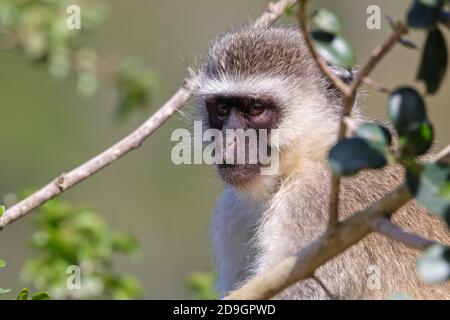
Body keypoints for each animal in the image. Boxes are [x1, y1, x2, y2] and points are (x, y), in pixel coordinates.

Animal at [192, 25, 450, 300]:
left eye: (255, 108)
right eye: (221, 109)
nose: (227, 142)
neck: (312, 155)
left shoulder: (316, 200)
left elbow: (299, 289)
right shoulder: (231, 212)